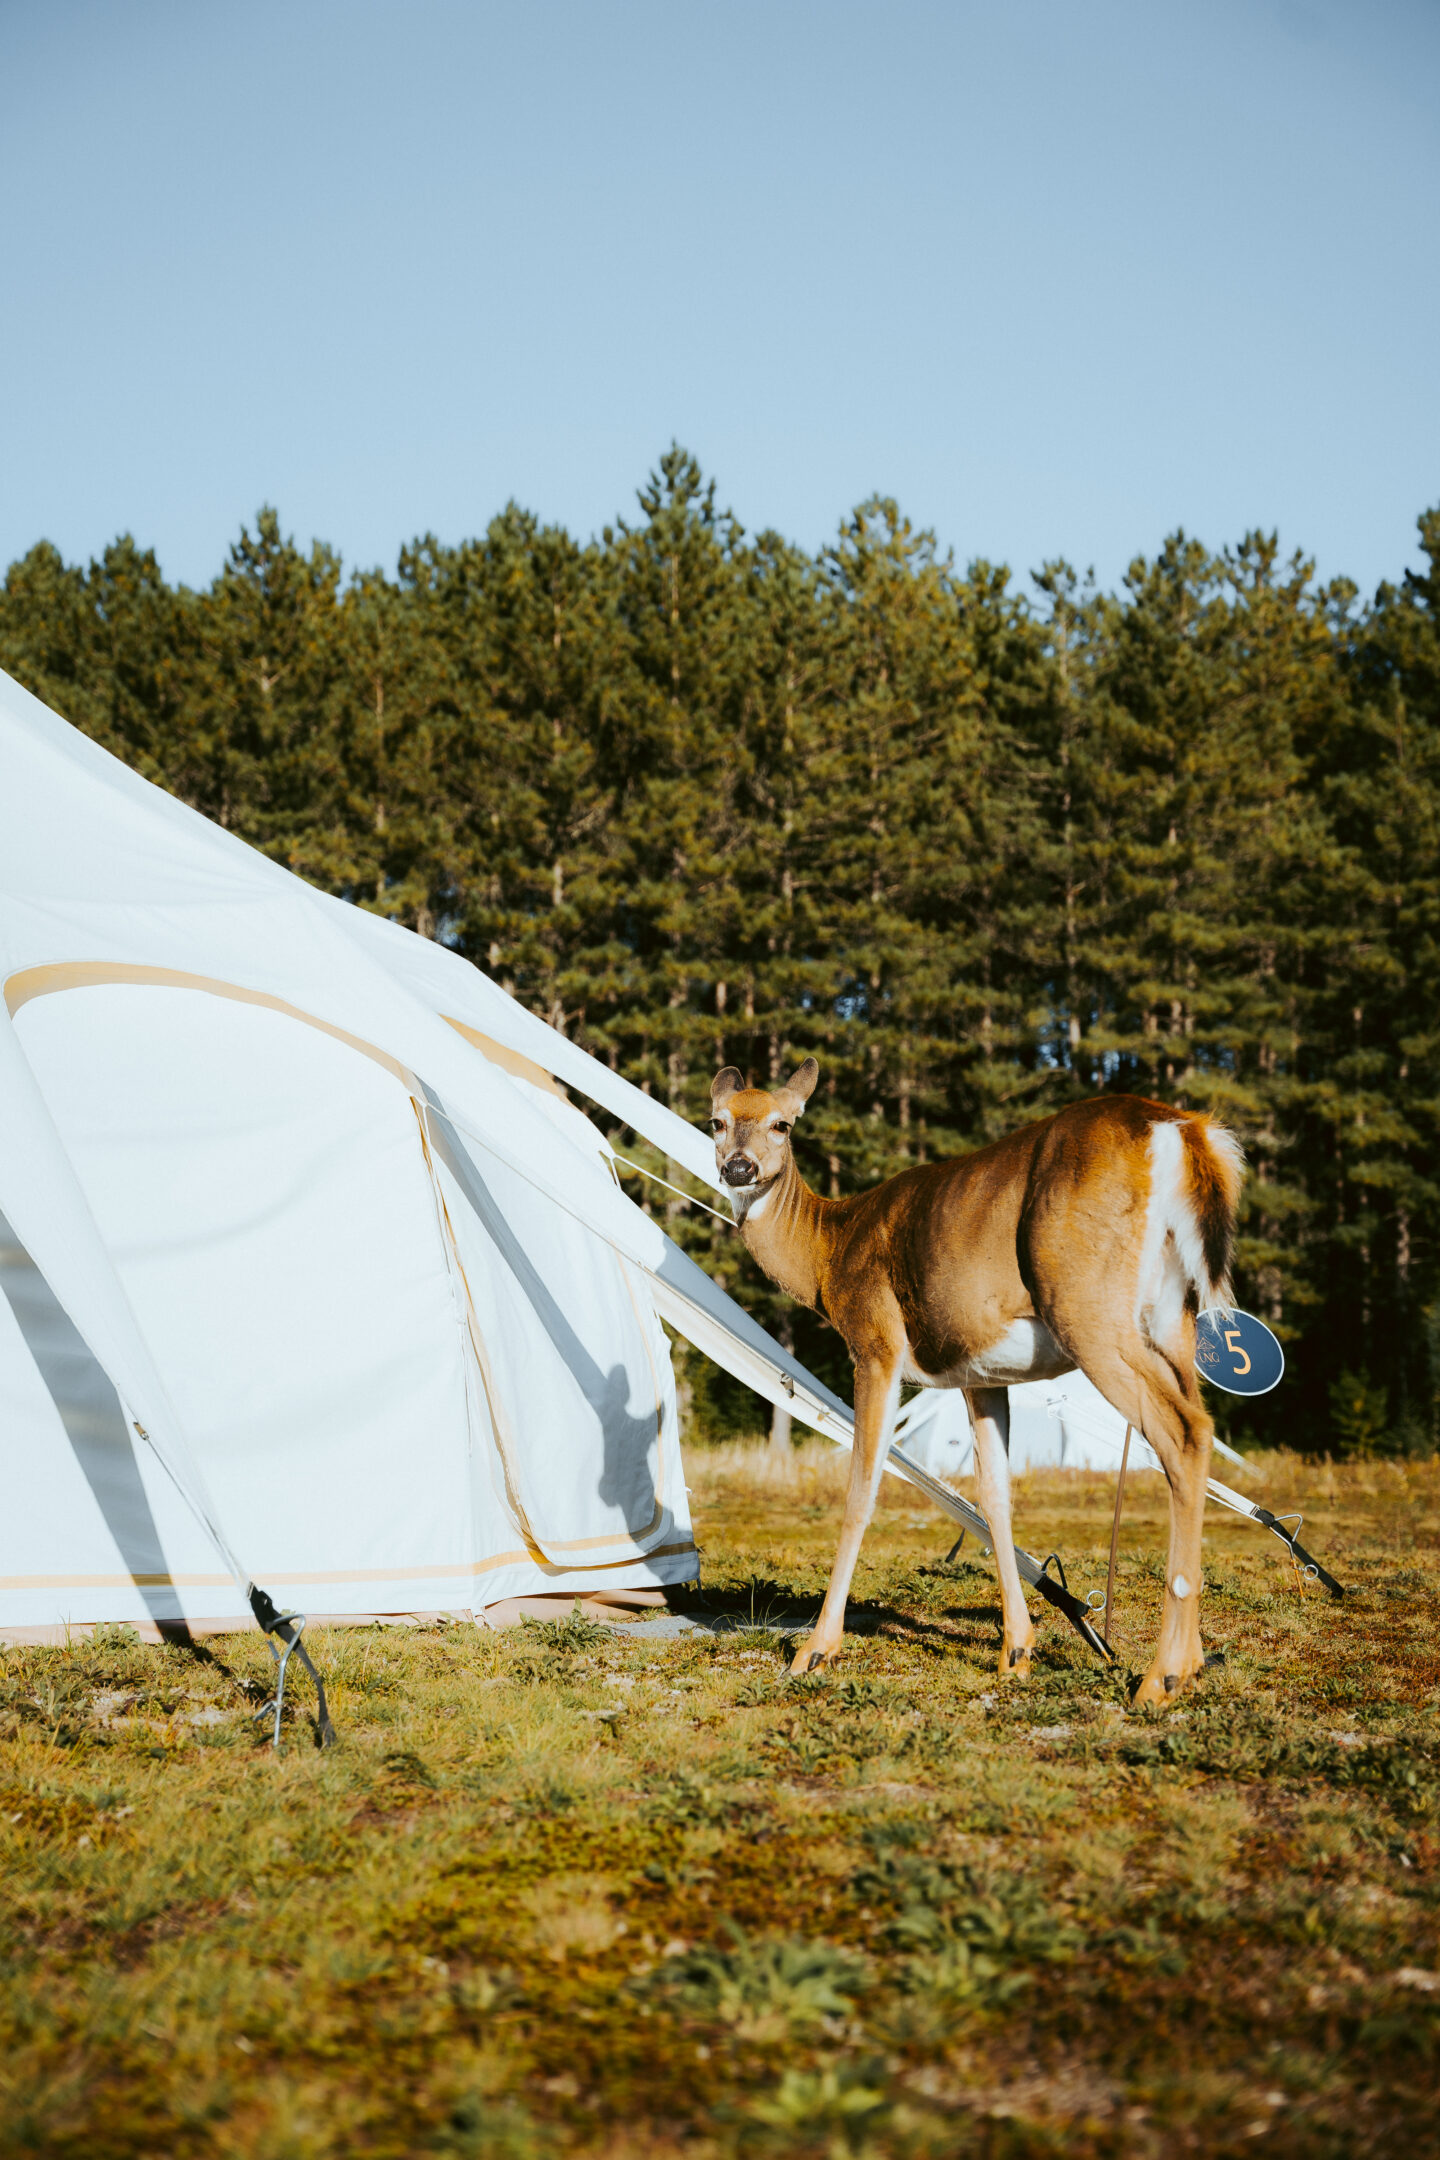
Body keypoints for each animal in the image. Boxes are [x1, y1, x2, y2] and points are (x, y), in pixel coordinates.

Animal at [703, 1058, 1243, 1702]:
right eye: (716, 1121)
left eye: (782, 1124)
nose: (739, 1167)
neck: (829, 1254)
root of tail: (1183, 1131)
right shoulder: (981, 1372)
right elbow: (995, 1496)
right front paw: (1016, 1651)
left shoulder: (876, 1341)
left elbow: (862, 1490)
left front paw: (815, 1650)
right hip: (1174, 1318)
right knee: (1196, 1430)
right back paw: (1190, 1662)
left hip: (1087, 1302)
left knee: (1183, 1432)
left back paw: (1163, 1677)